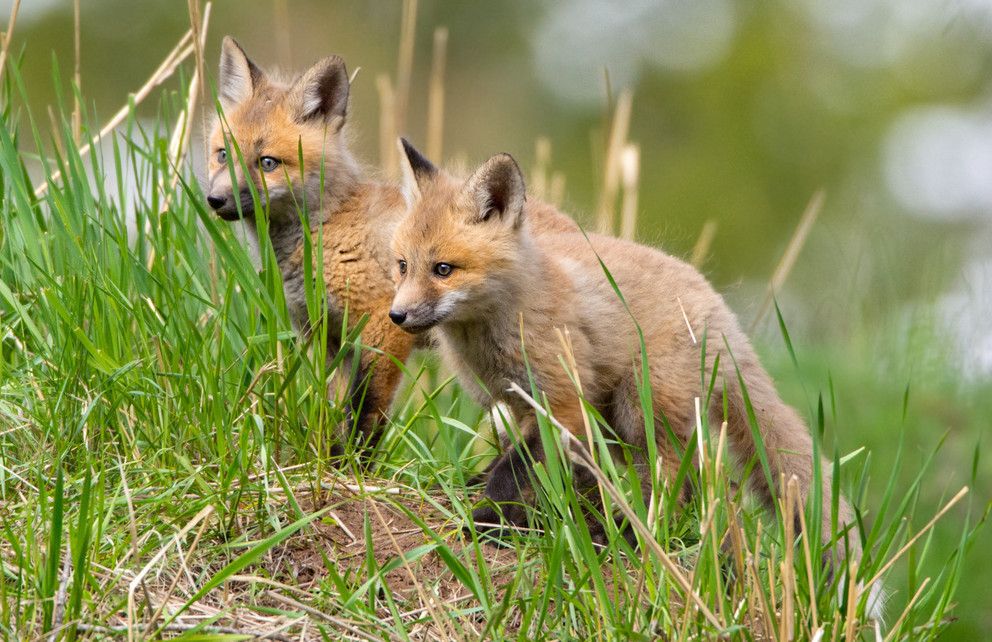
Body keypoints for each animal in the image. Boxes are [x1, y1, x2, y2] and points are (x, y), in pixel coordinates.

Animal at [204, 38, 579, 453]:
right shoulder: (329, 340)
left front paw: (351, 462)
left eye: (267, 162)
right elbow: (333, 411)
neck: (329, 230)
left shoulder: (384, 326)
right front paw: (332, 457)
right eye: (222, 155)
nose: (214, 200)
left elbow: (365, 413)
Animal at [388, 140, 884, 617]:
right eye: (402, 265)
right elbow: (513, 462)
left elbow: (514, 472)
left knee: (677, 488)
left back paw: (625, 536)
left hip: (640, 407)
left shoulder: (562, 402)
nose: (397, 315)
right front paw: (488, 498)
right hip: (618, 419)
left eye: (444, 269)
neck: (498, 325)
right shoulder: (511, 403)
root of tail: (722, 313)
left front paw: (488, 521)